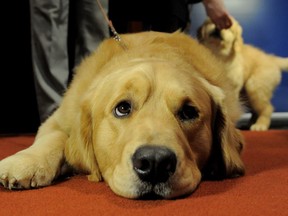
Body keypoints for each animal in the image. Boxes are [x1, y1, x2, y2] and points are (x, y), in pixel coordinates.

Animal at [0, 31, 243, 199]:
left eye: (189, 112)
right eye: (123, 108)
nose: (155, 162)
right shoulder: (60, 117)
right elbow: (56, 136)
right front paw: (26, 161)